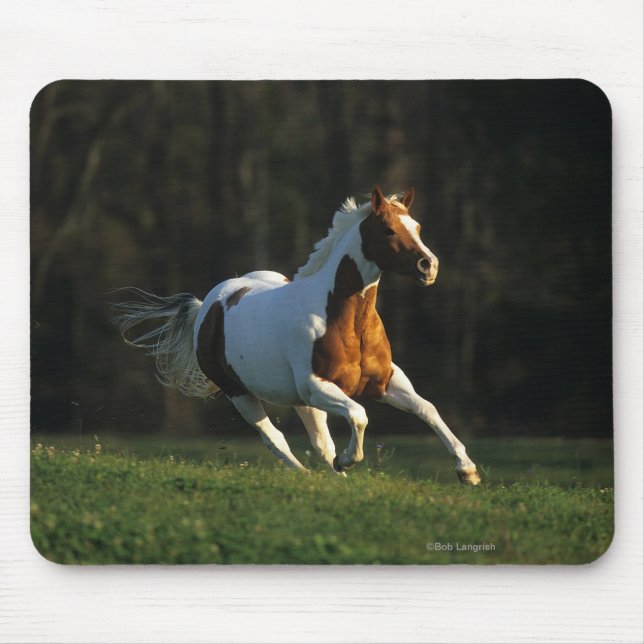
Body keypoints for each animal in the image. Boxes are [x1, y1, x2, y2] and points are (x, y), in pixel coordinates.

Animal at [115, 186, 480, 485]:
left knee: (319, 441)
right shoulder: (317, 386)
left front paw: (468, 471)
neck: (346, 321)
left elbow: (427, 409)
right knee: (274, 438)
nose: (428, 266)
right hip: (242, 394)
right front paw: (347, 461)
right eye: (389, 229)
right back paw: (308, 474)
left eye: (417, 227)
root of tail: (208, 306)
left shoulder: (385, 381)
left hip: (301, 402)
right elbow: (359, 416)